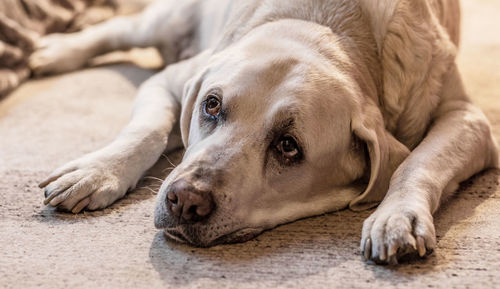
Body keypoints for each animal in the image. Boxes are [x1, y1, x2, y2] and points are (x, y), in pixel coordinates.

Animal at [30, 0, 496, 264]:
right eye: (211, 105)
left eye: (288, 146)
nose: (185, 200)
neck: (331, 25)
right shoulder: (172, 80)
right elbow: (145, 132)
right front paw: (96, 172)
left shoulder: (467, 120)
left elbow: (417, 163)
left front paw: (397, 216)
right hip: (172, 17)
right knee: (121, 29)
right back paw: (54, 51)